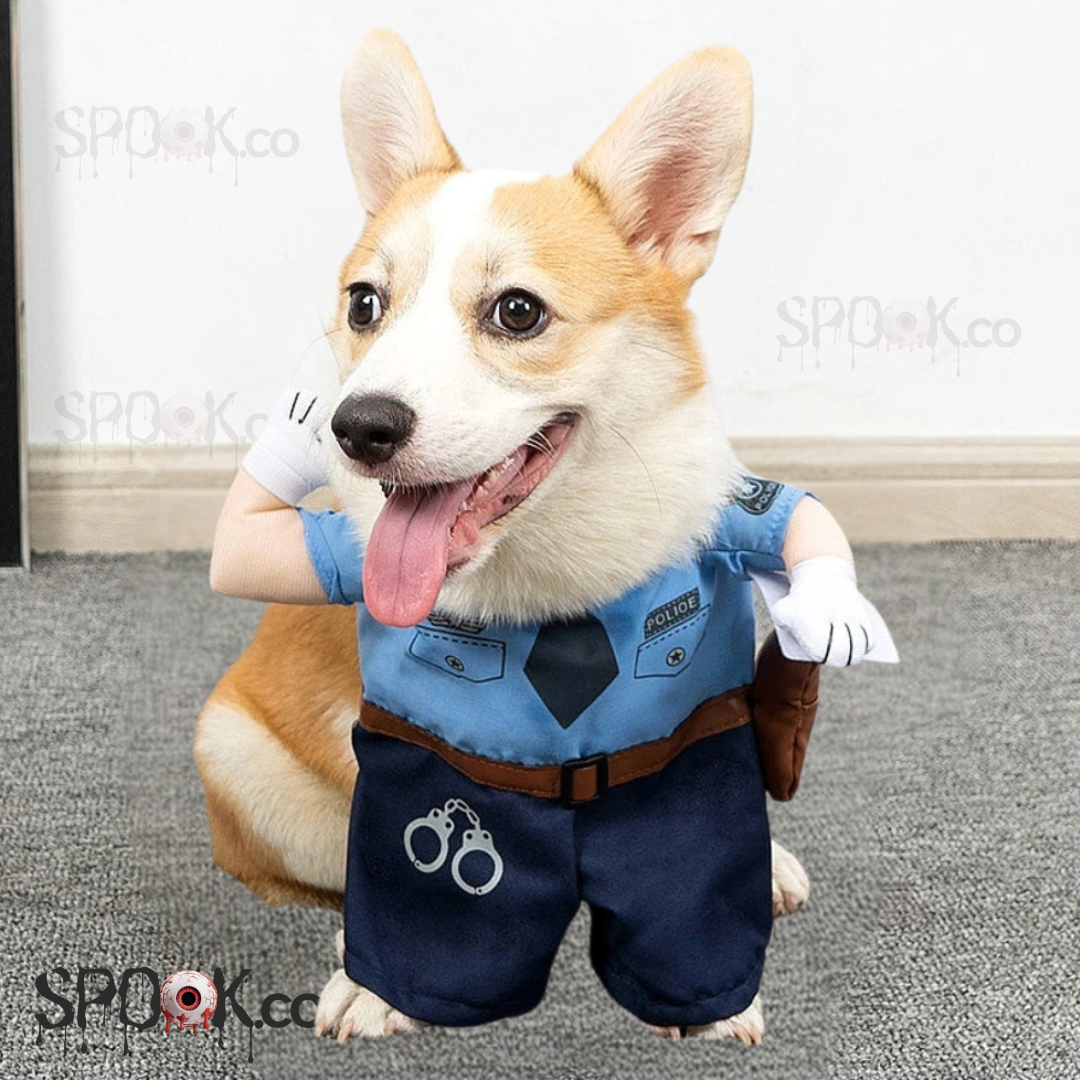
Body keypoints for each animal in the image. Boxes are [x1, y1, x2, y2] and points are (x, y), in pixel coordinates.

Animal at [196, 29, 885, 1045]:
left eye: (517, 311)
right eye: (365, 305)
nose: (358, 428)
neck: (551, 568)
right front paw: (379, 980)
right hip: (233, 748)